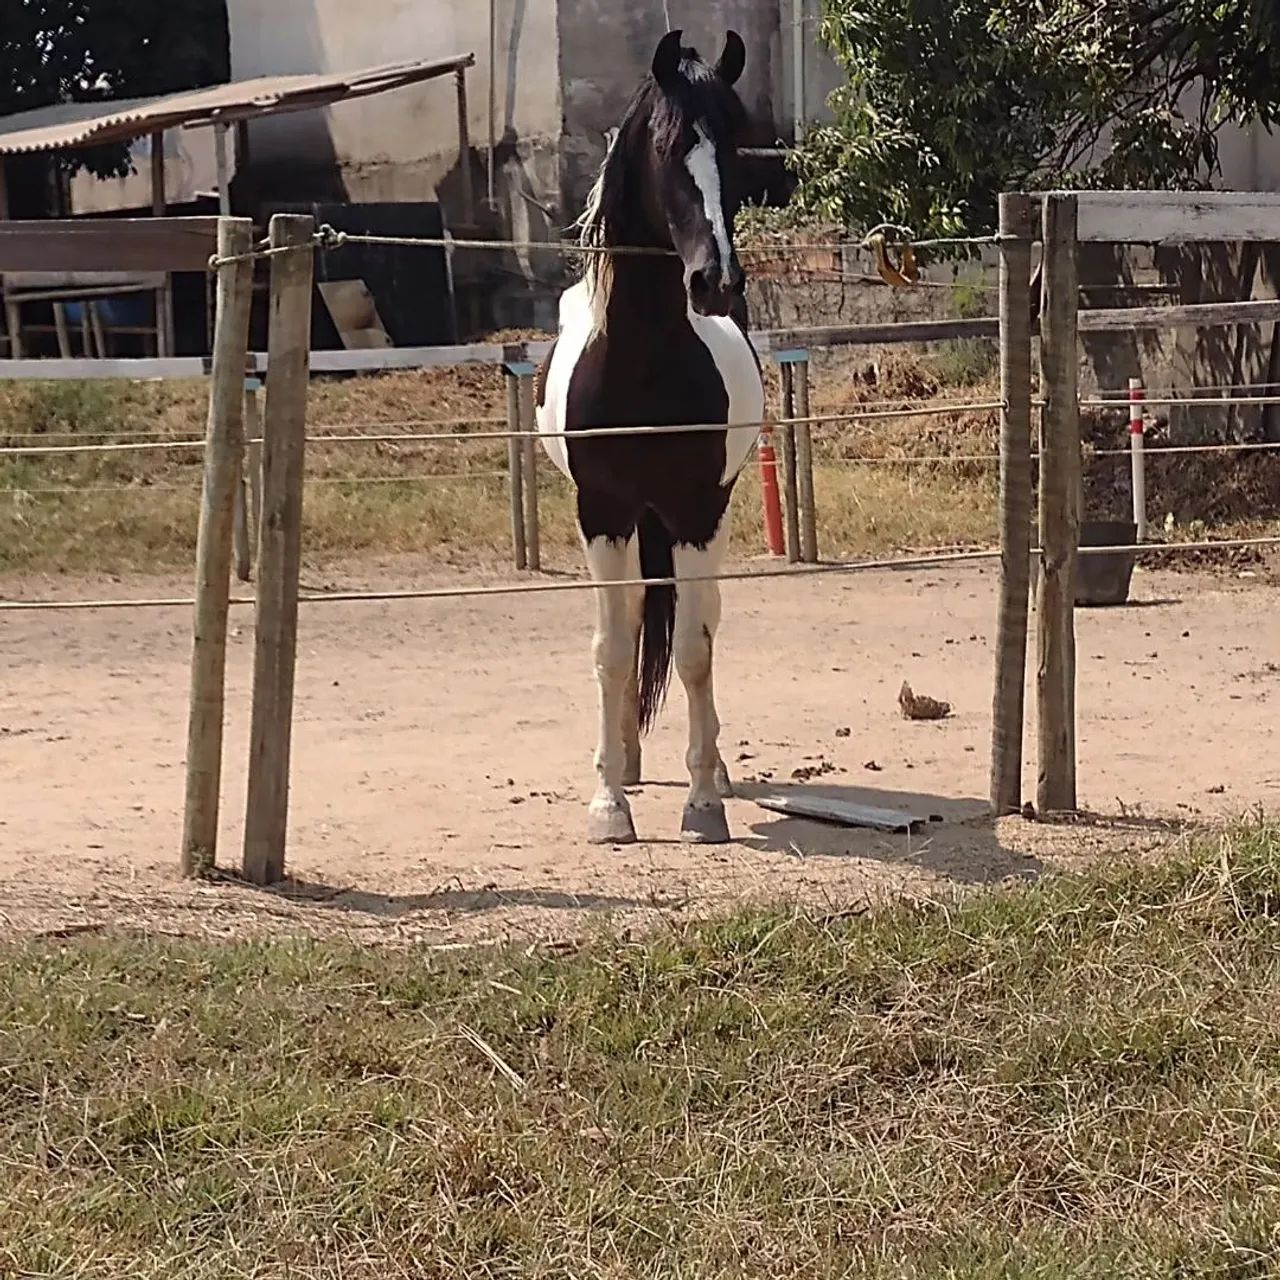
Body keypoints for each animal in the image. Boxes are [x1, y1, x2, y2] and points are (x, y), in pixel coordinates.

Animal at [535, 29, 765, 846]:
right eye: (667, 146)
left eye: (735, 143)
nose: (716, 282)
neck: (643, 367)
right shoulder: (601, 512)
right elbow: (611, 650)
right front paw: (609, 803)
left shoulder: (697, 510)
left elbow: (694, 648)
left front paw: (703, 802)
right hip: (635, 521)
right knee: (633, 623)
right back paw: (629, 761)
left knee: (702, 624)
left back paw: (715, 771)